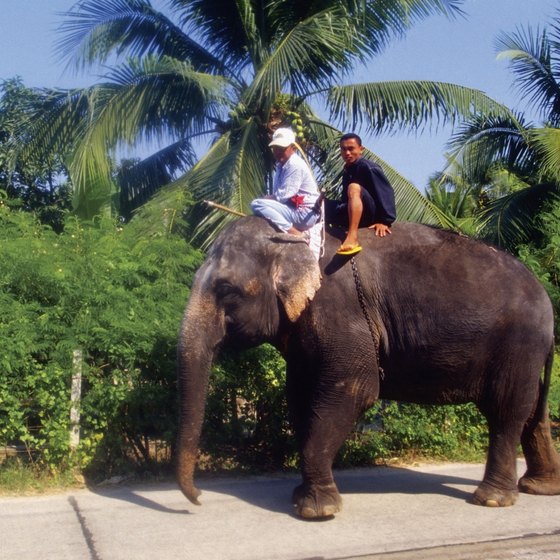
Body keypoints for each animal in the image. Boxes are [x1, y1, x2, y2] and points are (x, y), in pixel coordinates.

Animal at [176, 217, 560, 520]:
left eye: (226, 289)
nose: (199, 499)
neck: (293, 240)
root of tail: (546, 300)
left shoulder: (342, 313)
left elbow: (356, 390)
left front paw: (317, 511)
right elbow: (299, 397)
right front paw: (302, 498)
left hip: (517, 344)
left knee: (506, 412)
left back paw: (492, 500)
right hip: (525, 353)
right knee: (532, 413)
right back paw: (539, 487)